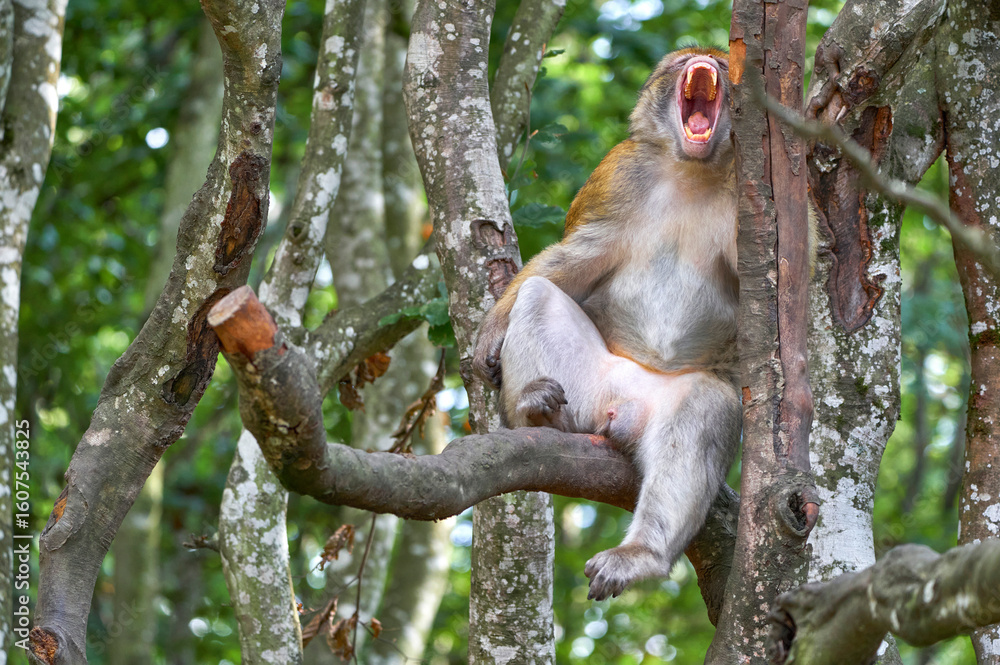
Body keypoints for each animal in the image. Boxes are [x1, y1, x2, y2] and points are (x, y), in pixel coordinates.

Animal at [472, 47, 743, 601]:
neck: (693, 172)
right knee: (538, 294)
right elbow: (575, 259)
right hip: (590, 390)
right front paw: (489, 332)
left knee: (706, 409)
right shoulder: (618, 177)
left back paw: (640, 556)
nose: (705, 61)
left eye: (725, 65)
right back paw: (533, 412)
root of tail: (625, 410)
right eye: (684, 60)